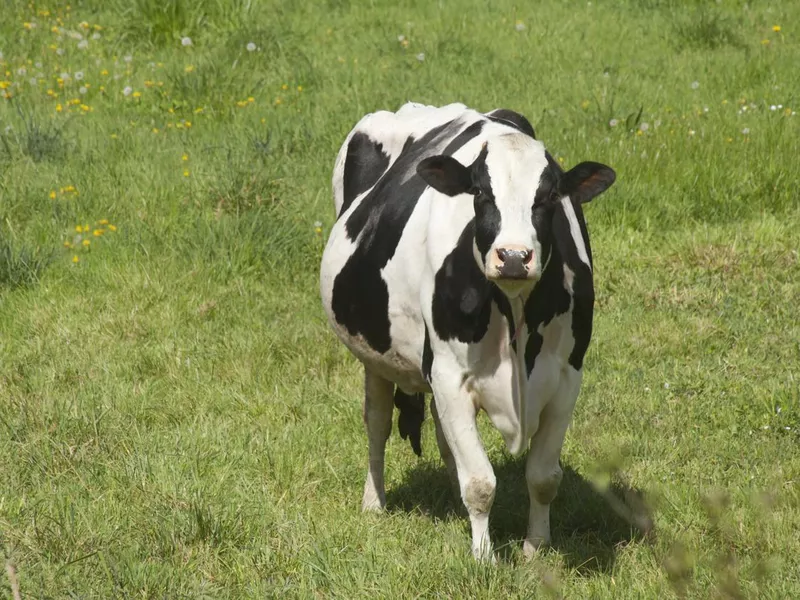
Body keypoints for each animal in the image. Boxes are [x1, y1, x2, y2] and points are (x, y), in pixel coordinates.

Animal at [320, 102, 620, 556]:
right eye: (480, 193)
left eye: (550, 197)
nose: (513, 256)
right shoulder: (449, 375)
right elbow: (480, 483)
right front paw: (483, 557)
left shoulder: (567, 376)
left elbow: (543, 478)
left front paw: (535, 549)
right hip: (375, 354)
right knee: (377, 422)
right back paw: (374, 502)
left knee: (443, 436)